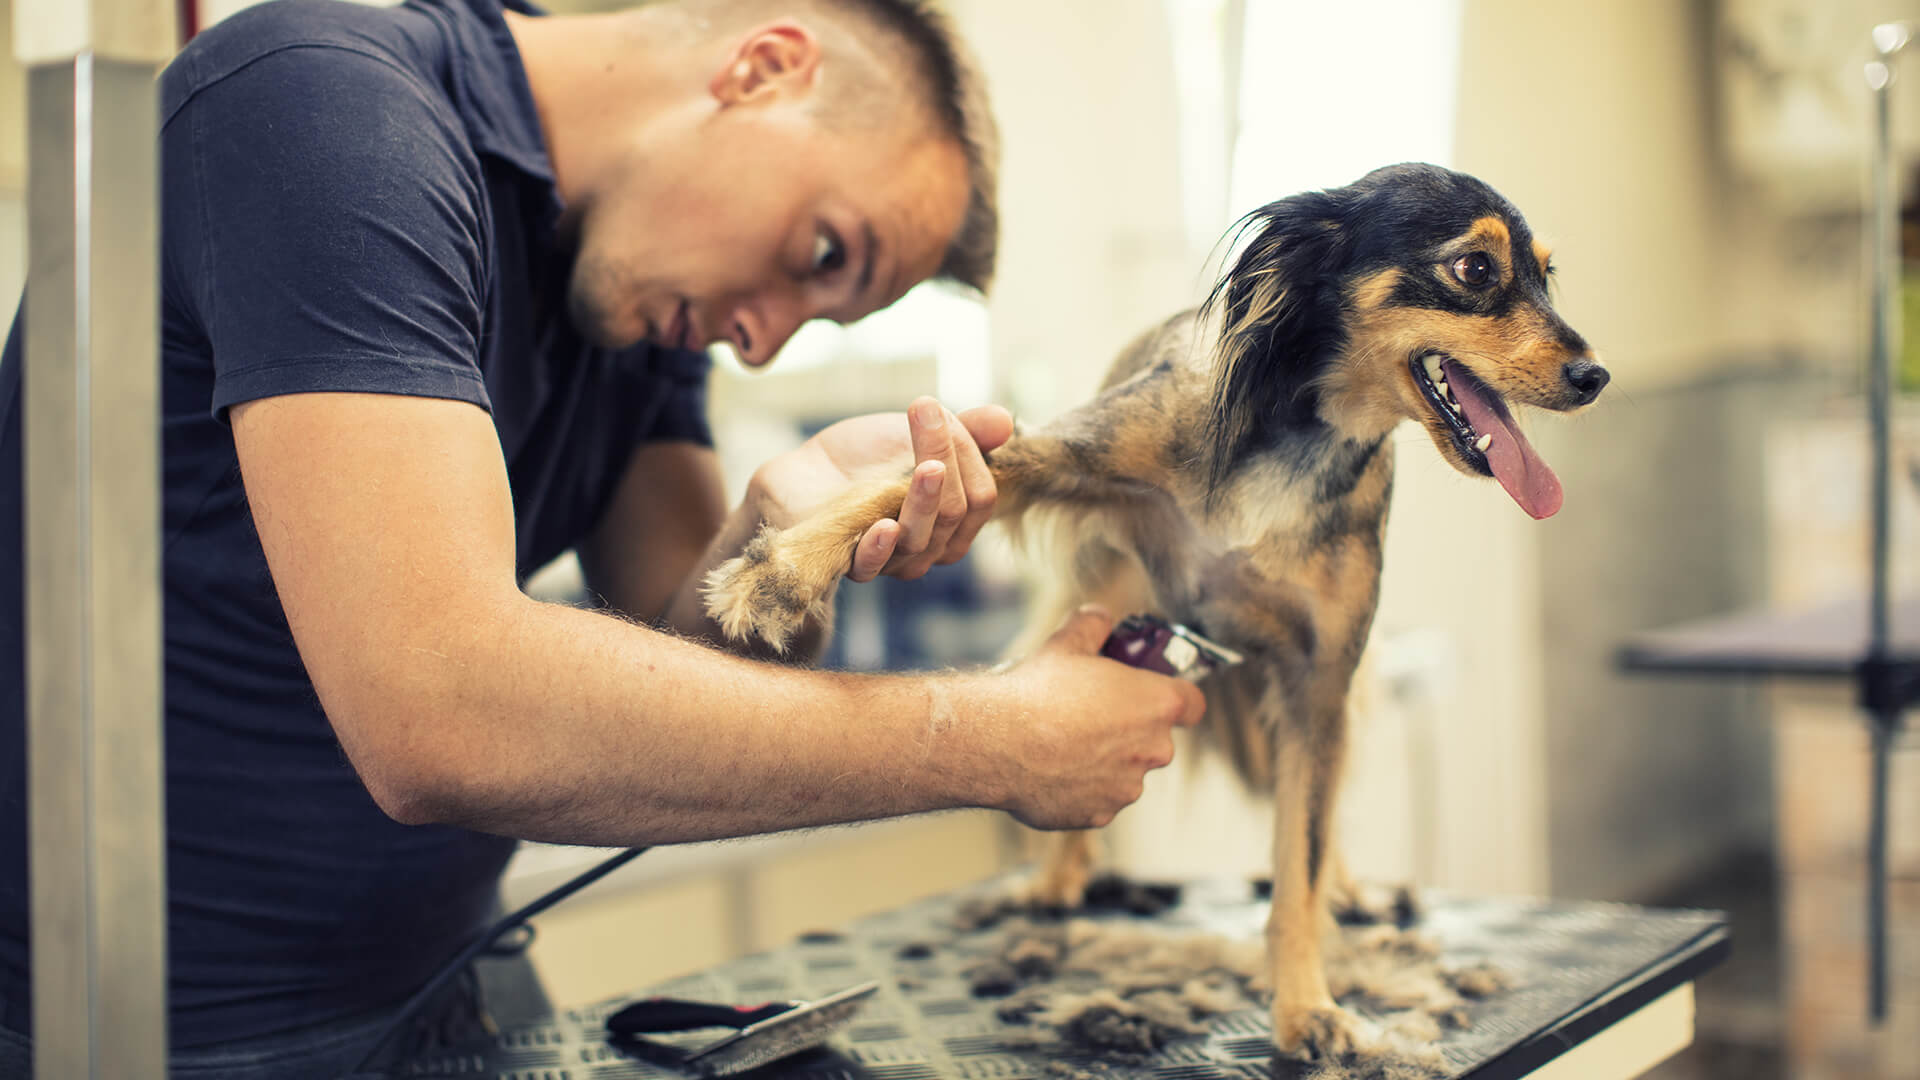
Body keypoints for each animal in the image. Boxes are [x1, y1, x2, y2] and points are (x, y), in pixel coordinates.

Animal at [706, 164, 1605, 1053]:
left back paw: (1346, 891)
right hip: (1110, 603)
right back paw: (1058, 878)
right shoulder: (1045, 453)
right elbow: (888, 490)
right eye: (1476, 270)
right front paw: (780, 575)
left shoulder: (1318, 681)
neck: (1296, 440)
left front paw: (1306, 1004)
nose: (1595, 376)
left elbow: (1301, 859)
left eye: (1547, 276)